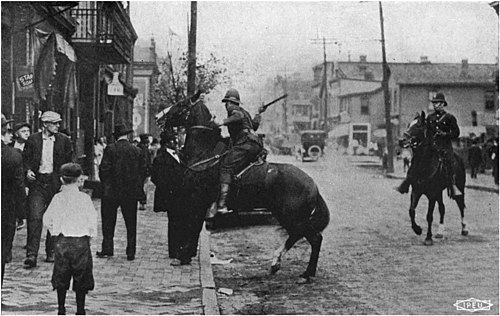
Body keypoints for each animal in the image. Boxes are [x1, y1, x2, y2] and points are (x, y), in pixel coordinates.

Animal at [164, 102, 330, 284]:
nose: (161, 118)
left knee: (314, 238)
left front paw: (182, 257)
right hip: (285, 215)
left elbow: (191, 228)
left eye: (181, 105)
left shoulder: (196, 202)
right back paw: (276, 264)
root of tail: (313, 184)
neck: (205, 154)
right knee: (297, 235)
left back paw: (306, 274)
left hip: (293, 217)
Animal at [398, 112, 468, 246]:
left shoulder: (432, 194)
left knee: (461, 206)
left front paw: (428, 238)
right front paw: (418, 229)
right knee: (442, 208)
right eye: (408, 124)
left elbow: (429, 216)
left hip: (459, 188)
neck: (424, 164)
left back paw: (464, 229)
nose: (401, 140)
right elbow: (411, 210)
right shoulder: (416, 191)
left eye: (419, 126)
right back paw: (440, 232)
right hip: (439, 192)